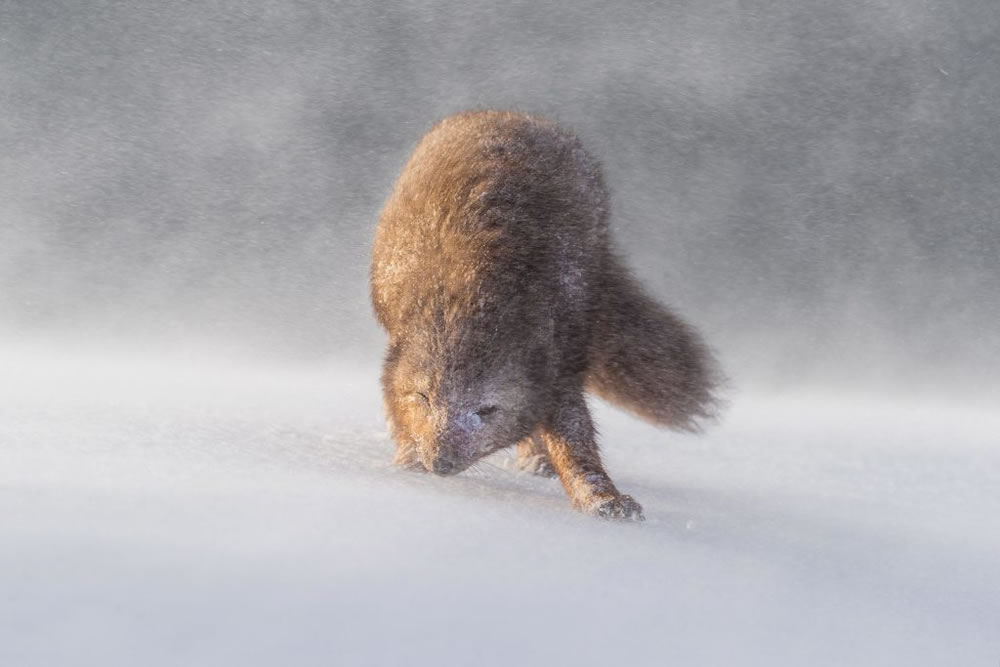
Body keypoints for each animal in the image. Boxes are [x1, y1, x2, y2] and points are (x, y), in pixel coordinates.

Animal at [368, 109, 720, 520]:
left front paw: (603, 498)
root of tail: (508, 115)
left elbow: (576, 443)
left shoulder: (559, 364)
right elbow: (393, 399)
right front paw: (409, 461)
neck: (480, 282)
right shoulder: (397, 350)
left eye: (487, 409)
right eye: (424, 398)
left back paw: (536, 461)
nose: (439, 463)